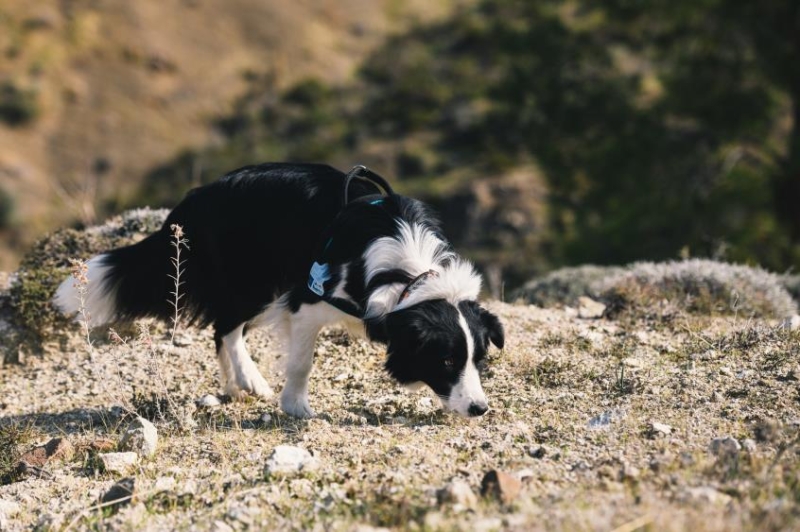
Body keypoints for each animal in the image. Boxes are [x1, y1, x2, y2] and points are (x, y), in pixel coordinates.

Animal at [54, 162, 506, 416]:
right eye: (445, 361)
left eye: (479, 360)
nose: (480, 410)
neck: (408, 275)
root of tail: (198, 197)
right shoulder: (308, 297)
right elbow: (302, 362)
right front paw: (296, 407)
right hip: (258, 281)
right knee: (225, 327)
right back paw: (250, 379)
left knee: (222, 330)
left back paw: (235, 384)